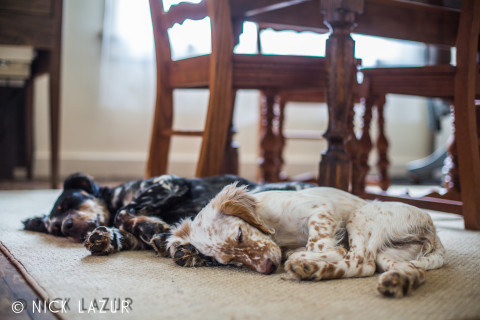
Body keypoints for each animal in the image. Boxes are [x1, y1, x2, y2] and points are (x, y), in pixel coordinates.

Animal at [23, 172, 312, 260]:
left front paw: (153, 228)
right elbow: (126, 231)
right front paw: (104, 239)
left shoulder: (169, 183)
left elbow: (122, 214)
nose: (66, 227)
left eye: (67, 204)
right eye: (55, 229)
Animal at [169, 184, 446, 298]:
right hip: (389, 256)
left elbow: (317, 243)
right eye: (229, 261)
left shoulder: (321, 209)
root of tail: (433, 230)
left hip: (360, 216)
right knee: (407, 270)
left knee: (361, 261)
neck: (278, 230)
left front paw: (314, 253)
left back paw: (309, 264)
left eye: (239, 234)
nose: (267, 268)